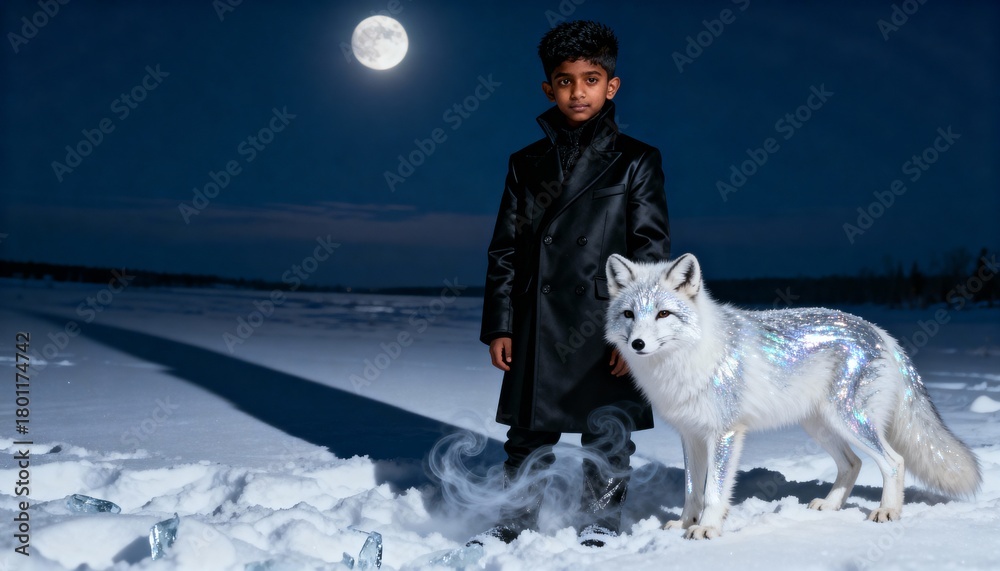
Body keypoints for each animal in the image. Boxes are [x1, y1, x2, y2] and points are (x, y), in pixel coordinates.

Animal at [603, 253, 982, 539]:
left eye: (663, 314)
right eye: (629, 315)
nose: (637, 344)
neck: (688, 359)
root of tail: (879, 331)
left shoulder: (724, 433)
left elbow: (713, 492)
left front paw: (707, 529)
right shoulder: (691, 435)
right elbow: (692, 490)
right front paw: (684, 524)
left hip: (851, 421)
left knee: (893, 462)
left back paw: (887, 510)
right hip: (821, 426)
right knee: (853, 464)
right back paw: (830, 506)